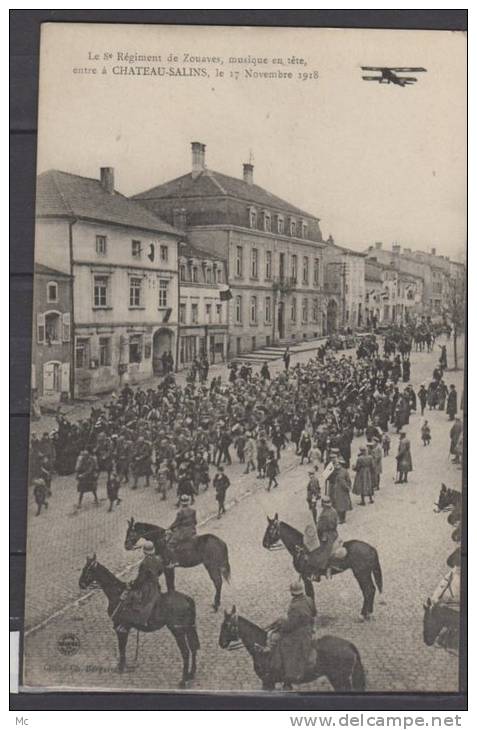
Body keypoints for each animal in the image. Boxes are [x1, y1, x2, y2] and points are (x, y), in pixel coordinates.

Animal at [78, 556, 199, 684]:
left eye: (88, 570)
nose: (81, 584)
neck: (118, 594)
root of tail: (187, 598)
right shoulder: (123, 628)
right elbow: (123, 647)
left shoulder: (120, 627)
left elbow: (122, 647)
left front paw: (121, 667)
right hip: (188, 629)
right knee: (193, 648)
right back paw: (191, 674)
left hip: (177, 631)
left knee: (186, 652)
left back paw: (183, 680)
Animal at [218, 604, 366, 692]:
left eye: (226, 625)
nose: (221, 643)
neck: (263, 648)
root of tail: (349, 645)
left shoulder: (267, 682)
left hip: (340, 679)